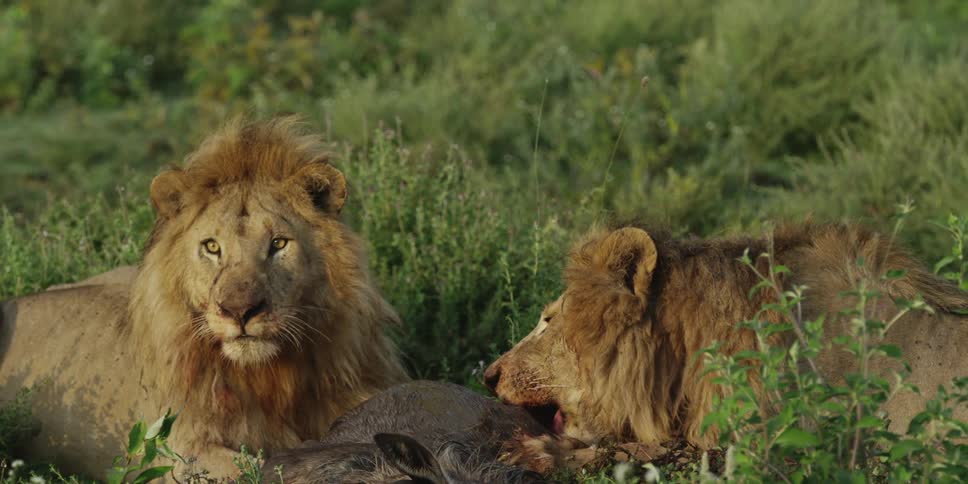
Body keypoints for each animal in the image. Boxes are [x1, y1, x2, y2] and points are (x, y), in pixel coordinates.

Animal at [0, 116, 409, 479]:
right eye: (212, 247)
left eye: (278, 244)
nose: (240, 311)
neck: (273, 380)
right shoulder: (179, 450)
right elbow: (254, 469)